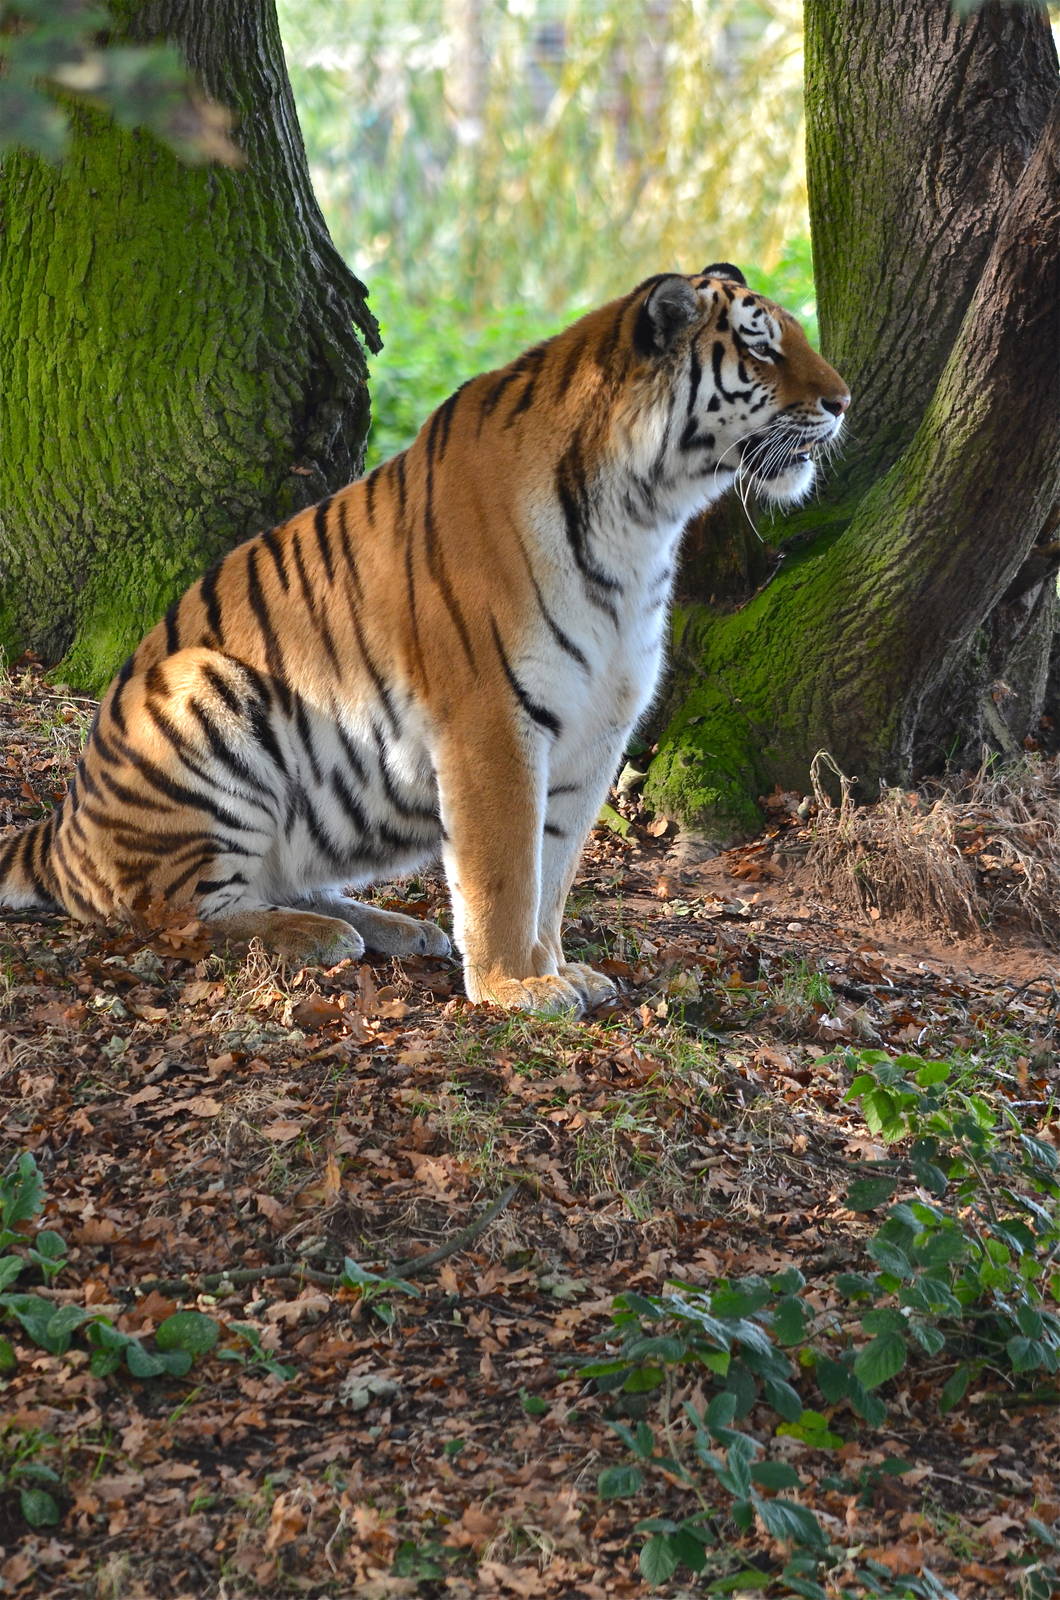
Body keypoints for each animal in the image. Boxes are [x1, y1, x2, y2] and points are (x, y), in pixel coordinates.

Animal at [0, 264, 849, 1015]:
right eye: (762, 349)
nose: (842, 402)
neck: (645, 520)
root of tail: (65, 825)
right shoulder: (493, 720)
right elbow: (507, 870)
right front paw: (516, 988)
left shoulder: (598, 729)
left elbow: (555, 869)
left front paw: (558, 969)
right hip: (200, 690)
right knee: (171, 911)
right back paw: (314, 936)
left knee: (272, 878)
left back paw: (389, 927)